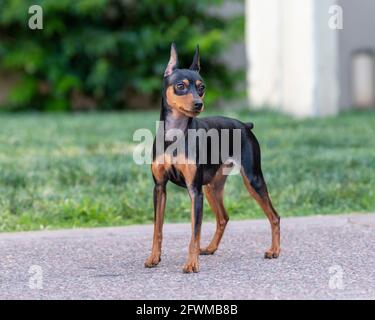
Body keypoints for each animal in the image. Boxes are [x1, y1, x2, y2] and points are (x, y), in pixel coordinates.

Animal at [145, 42, 280, 272]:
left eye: (202, 87)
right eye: (180, 86)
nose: (198, 104)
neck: (176, 134)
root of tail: (244, 125)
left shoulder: (194, 191)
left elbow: (194, 232)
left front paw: (191, 264)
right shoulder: (160, 188)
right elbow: (157, 229)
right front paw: (154, 258)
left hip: (251, 179)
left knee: (274, 216)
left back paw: (275, 251)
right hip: (212, 186)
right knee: (223, 217)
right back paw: (210, 248)